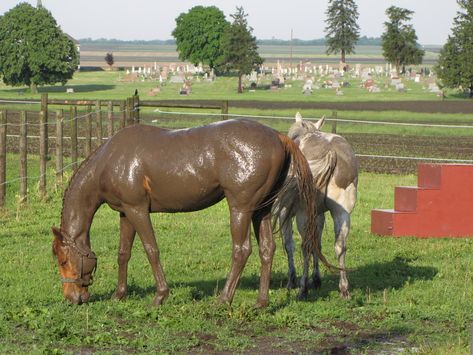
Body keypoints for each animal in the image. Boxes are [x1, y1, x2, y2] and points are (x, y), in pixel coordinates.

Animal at [50, 120, 332, 308]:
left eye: (63, 260)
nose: (72, 298)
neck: (110, 159)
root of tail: (278, 136)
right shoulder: (125, 213)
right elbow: (123, 254)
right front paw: (119, 294)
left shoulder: (138, 210)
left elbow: (151, 251)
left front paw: (160, 295)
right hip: (259, 211)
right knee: (267, 250)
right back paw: (261, 302)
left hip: (240, 209)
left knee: (241, 250)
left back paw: (224, 298)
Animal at [274, 112, 356, 298]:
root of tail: (331, 154)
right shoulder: (319, 214)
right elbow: (317, 243)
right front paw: (316, 279)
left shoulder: (285, 213)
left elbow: (289, 245)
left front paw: (292, 281)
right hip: (341, 213)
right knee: (340, 246)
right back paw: (344, 288)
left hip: (303, 215)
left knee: (305, 247)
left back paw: (303, 289)